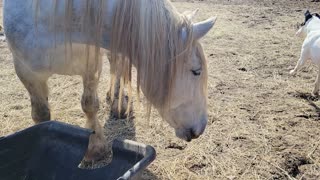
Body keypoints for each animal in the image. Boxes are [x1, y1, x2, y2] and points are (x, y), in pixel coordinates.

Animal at [3, 0, 216, 160]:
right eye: (196, 71)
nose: (201, 128)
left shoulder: (90, 66)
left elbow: (89, 105)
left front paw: (95, 147)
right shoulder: (26, 72)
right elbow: (41, 115)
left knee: (117, 66)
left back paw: (117, 104)